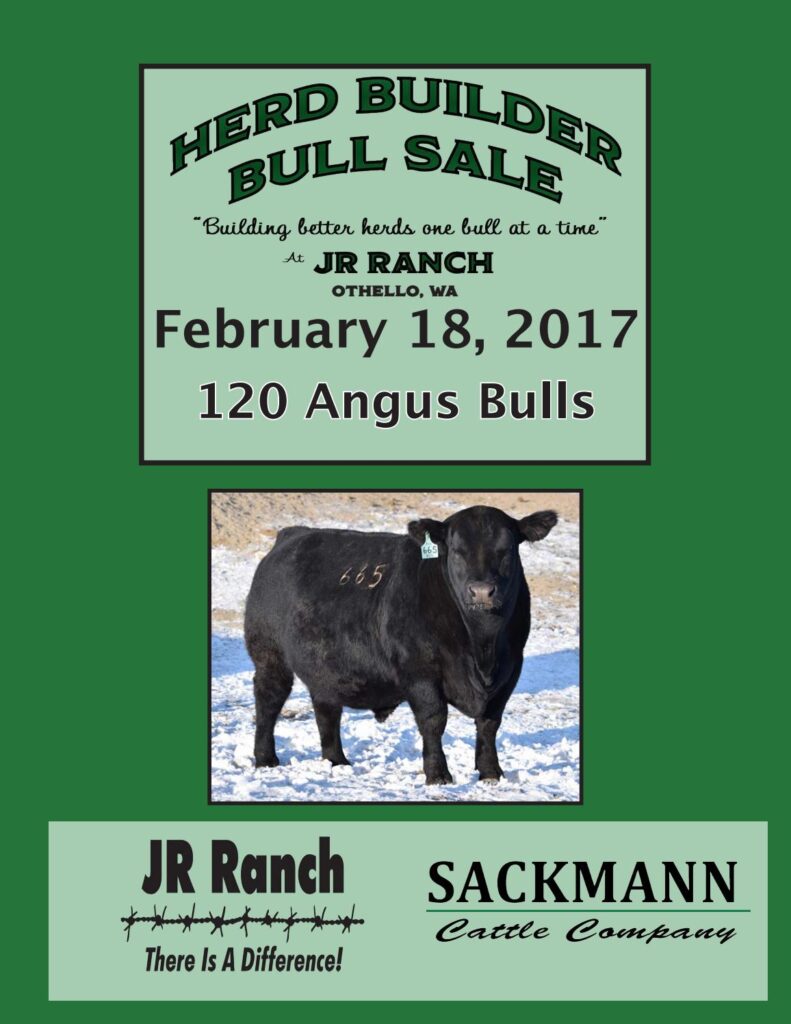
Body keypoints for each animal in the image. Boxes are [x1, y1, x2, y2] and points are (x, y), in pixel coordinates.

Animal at [244, 504, 558, 785]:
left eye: (507, 550)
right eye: (457, 551)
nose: (482, 591)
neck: (483, 647)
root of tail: (292, 533)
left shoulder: (511, 669)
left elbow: (490, 723)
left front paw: (491, 773)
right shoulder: (420, 670)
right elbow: (434, 720)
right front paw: (438, 775)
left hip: (325, 665)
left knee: (326, 708)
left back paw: (337, 761)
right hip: (269, 655)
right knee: (269, 700)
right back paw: (266, 759)